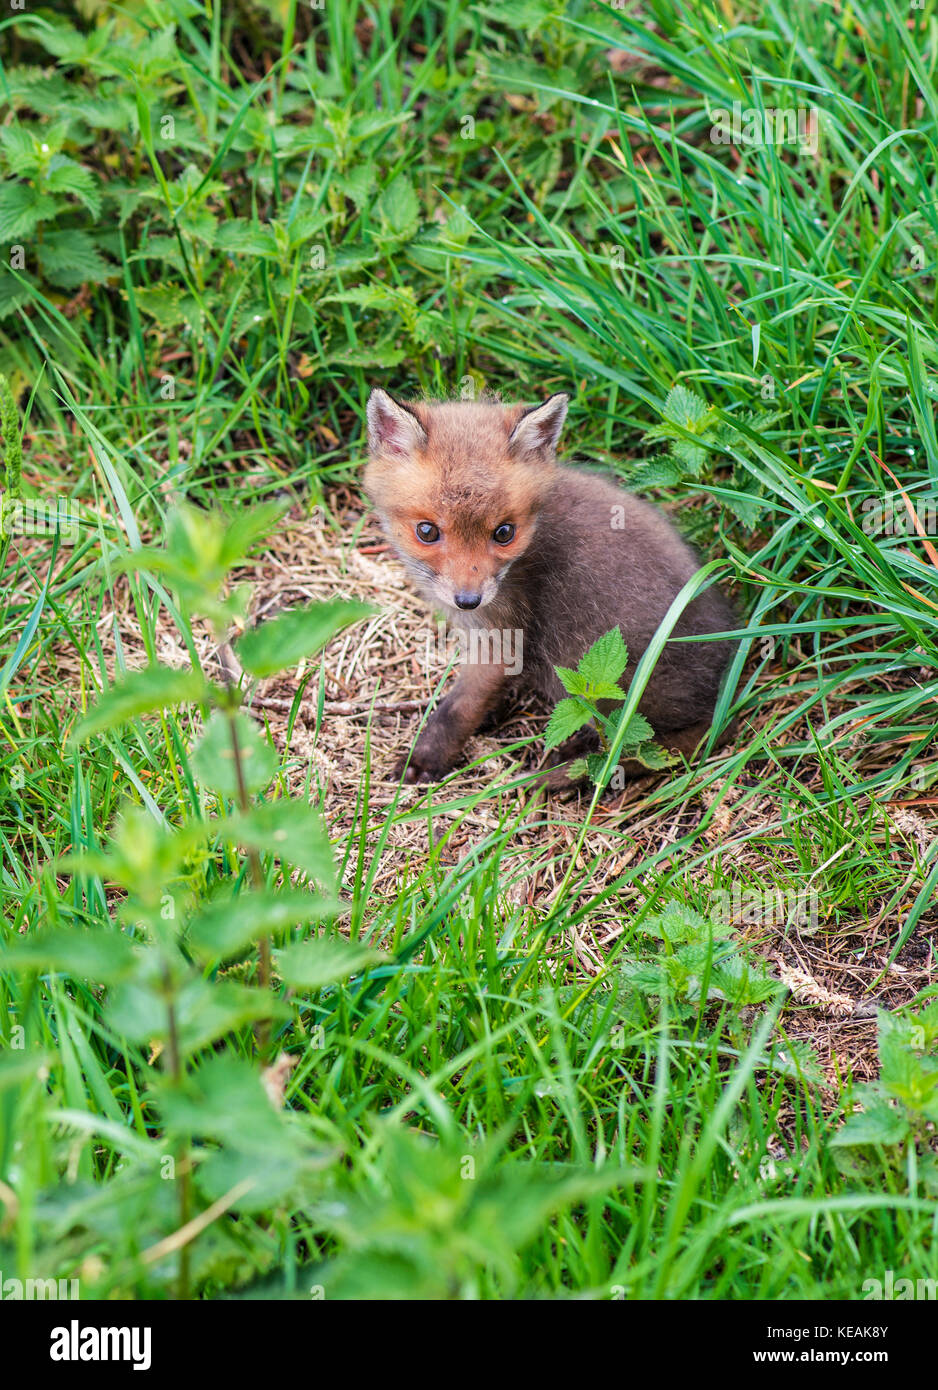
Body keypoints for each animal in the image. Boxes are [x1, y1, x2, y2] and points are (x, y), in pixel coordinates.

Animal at [363, 387, 739, 788]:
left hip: (600, 679)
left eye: (504, 533)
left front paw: (425, 758)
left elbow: (457, 709)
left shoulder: (502, 638)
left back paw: (567, 769)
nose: (468, 600)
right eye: (427, 531)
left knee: (653, 745)